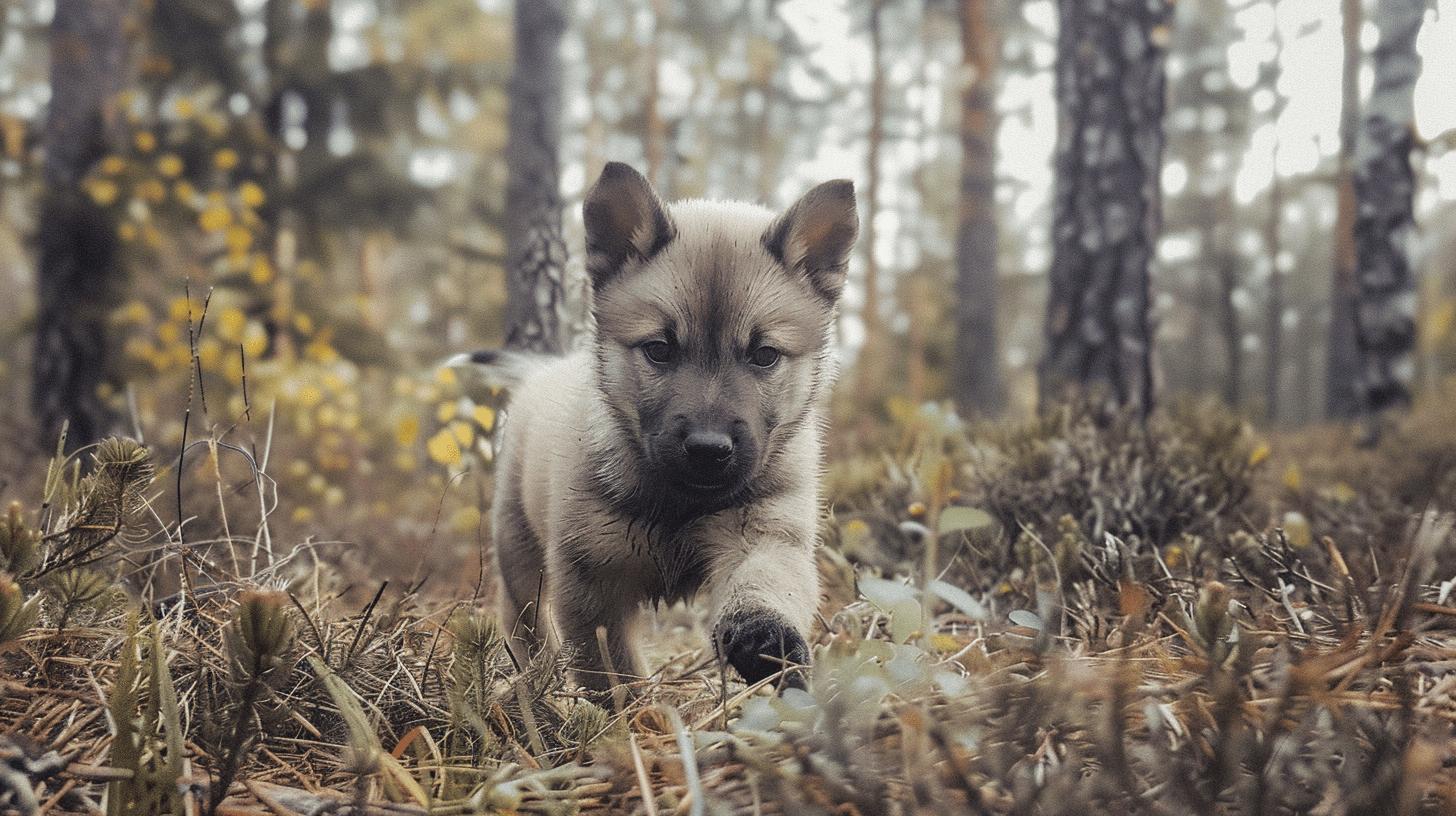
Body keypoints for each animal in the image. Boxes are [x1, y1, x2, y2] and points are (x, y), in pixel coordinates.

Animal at [486, 161, 850, 693]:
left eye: (764, 355)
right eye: (659, 349)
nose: (708, 449)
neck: (680, 503)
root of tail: (541, 371)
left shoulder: (767, 532)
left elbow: (765, 586)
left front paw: (765, 642)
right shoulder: (591, 583)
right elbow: (612, 673)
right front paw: (638, 711)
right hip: (518, 554)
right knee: (523, 621)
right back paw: (536, 681)